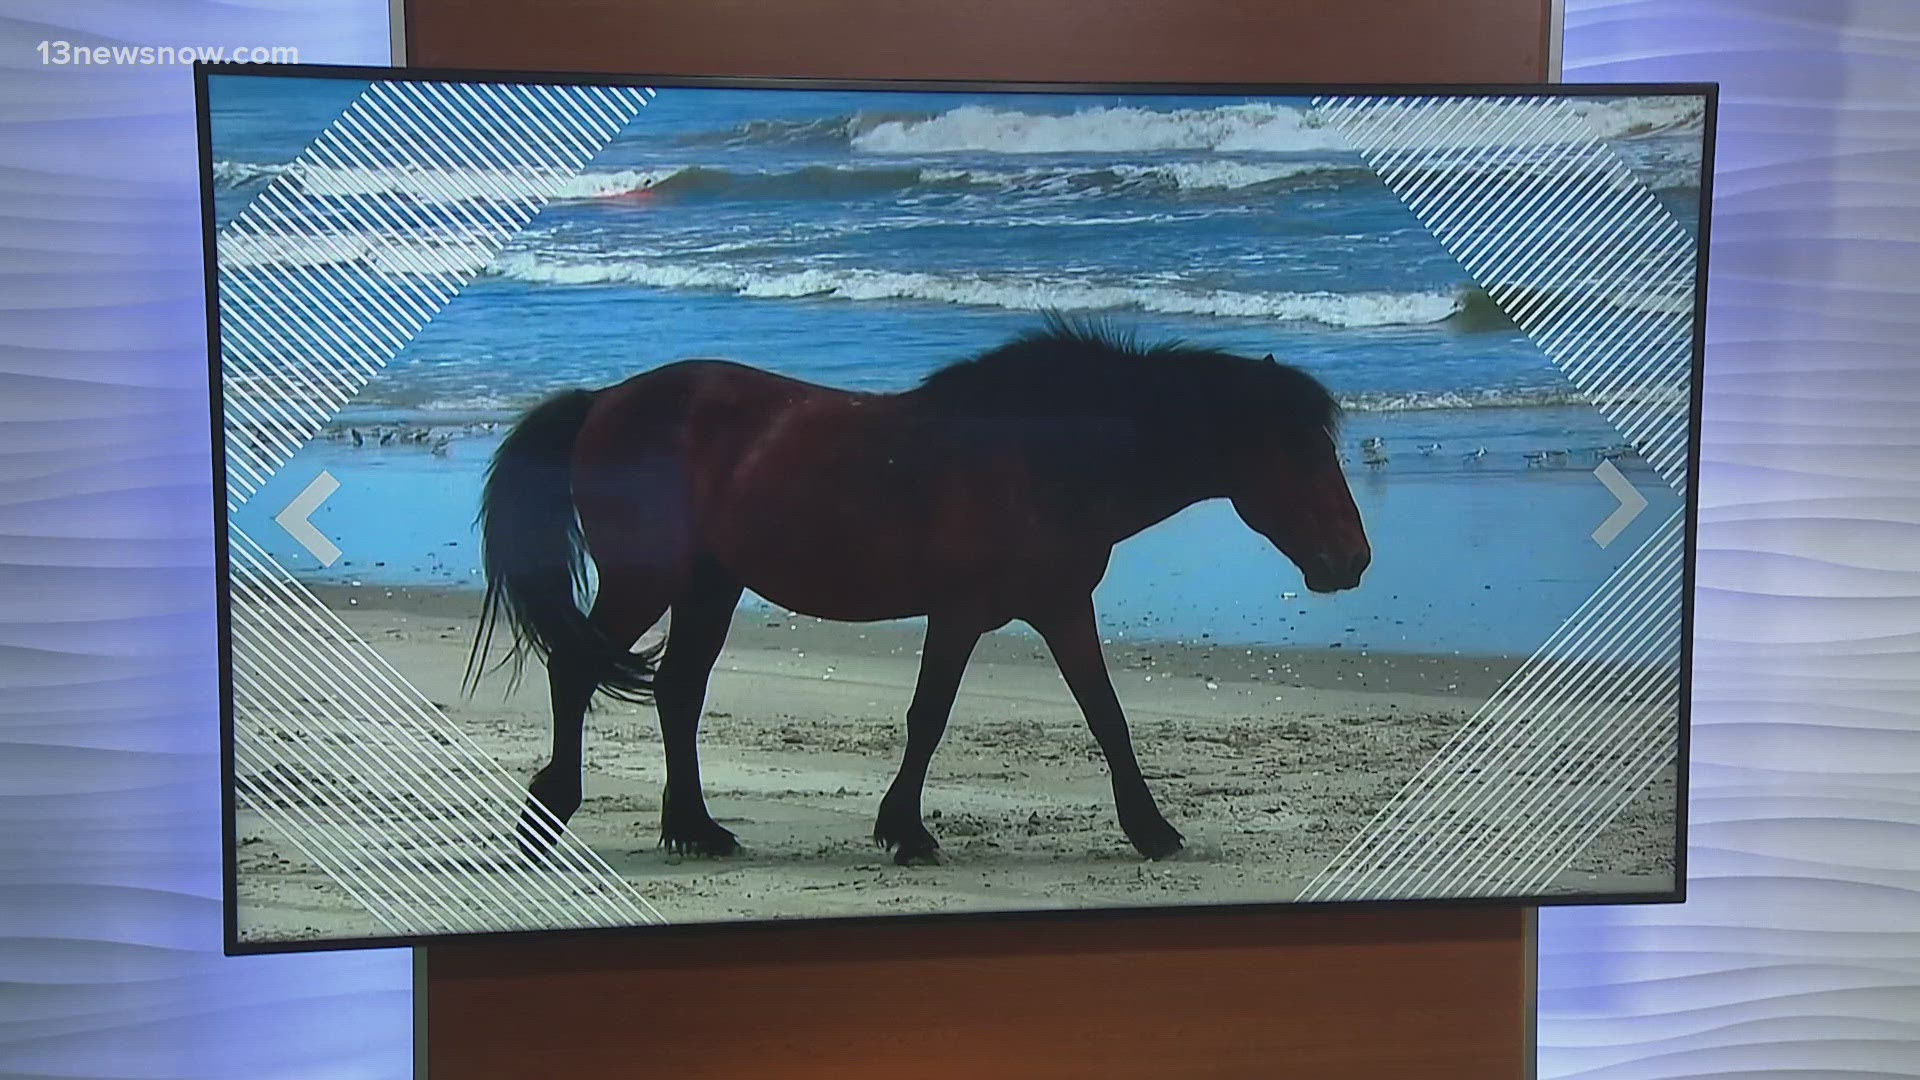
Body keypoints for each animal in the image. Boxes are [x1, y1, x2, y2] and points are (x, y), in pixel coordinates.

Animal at [468, 320, 1367, 864]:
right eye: (1297, 454)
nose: (1353, 560)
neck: (1041, 455)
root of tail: (603, 402)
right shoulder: (961, 612)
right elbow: (929, 716)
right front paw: (906, 830)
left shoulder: (1061, 608)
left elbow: (1105, 716)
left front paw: (1151, 829)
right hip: (645, 580)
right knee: (577, 671)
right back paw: (549, 817)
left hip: (708, 589)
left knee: (678, 692)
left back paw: (694, 827)